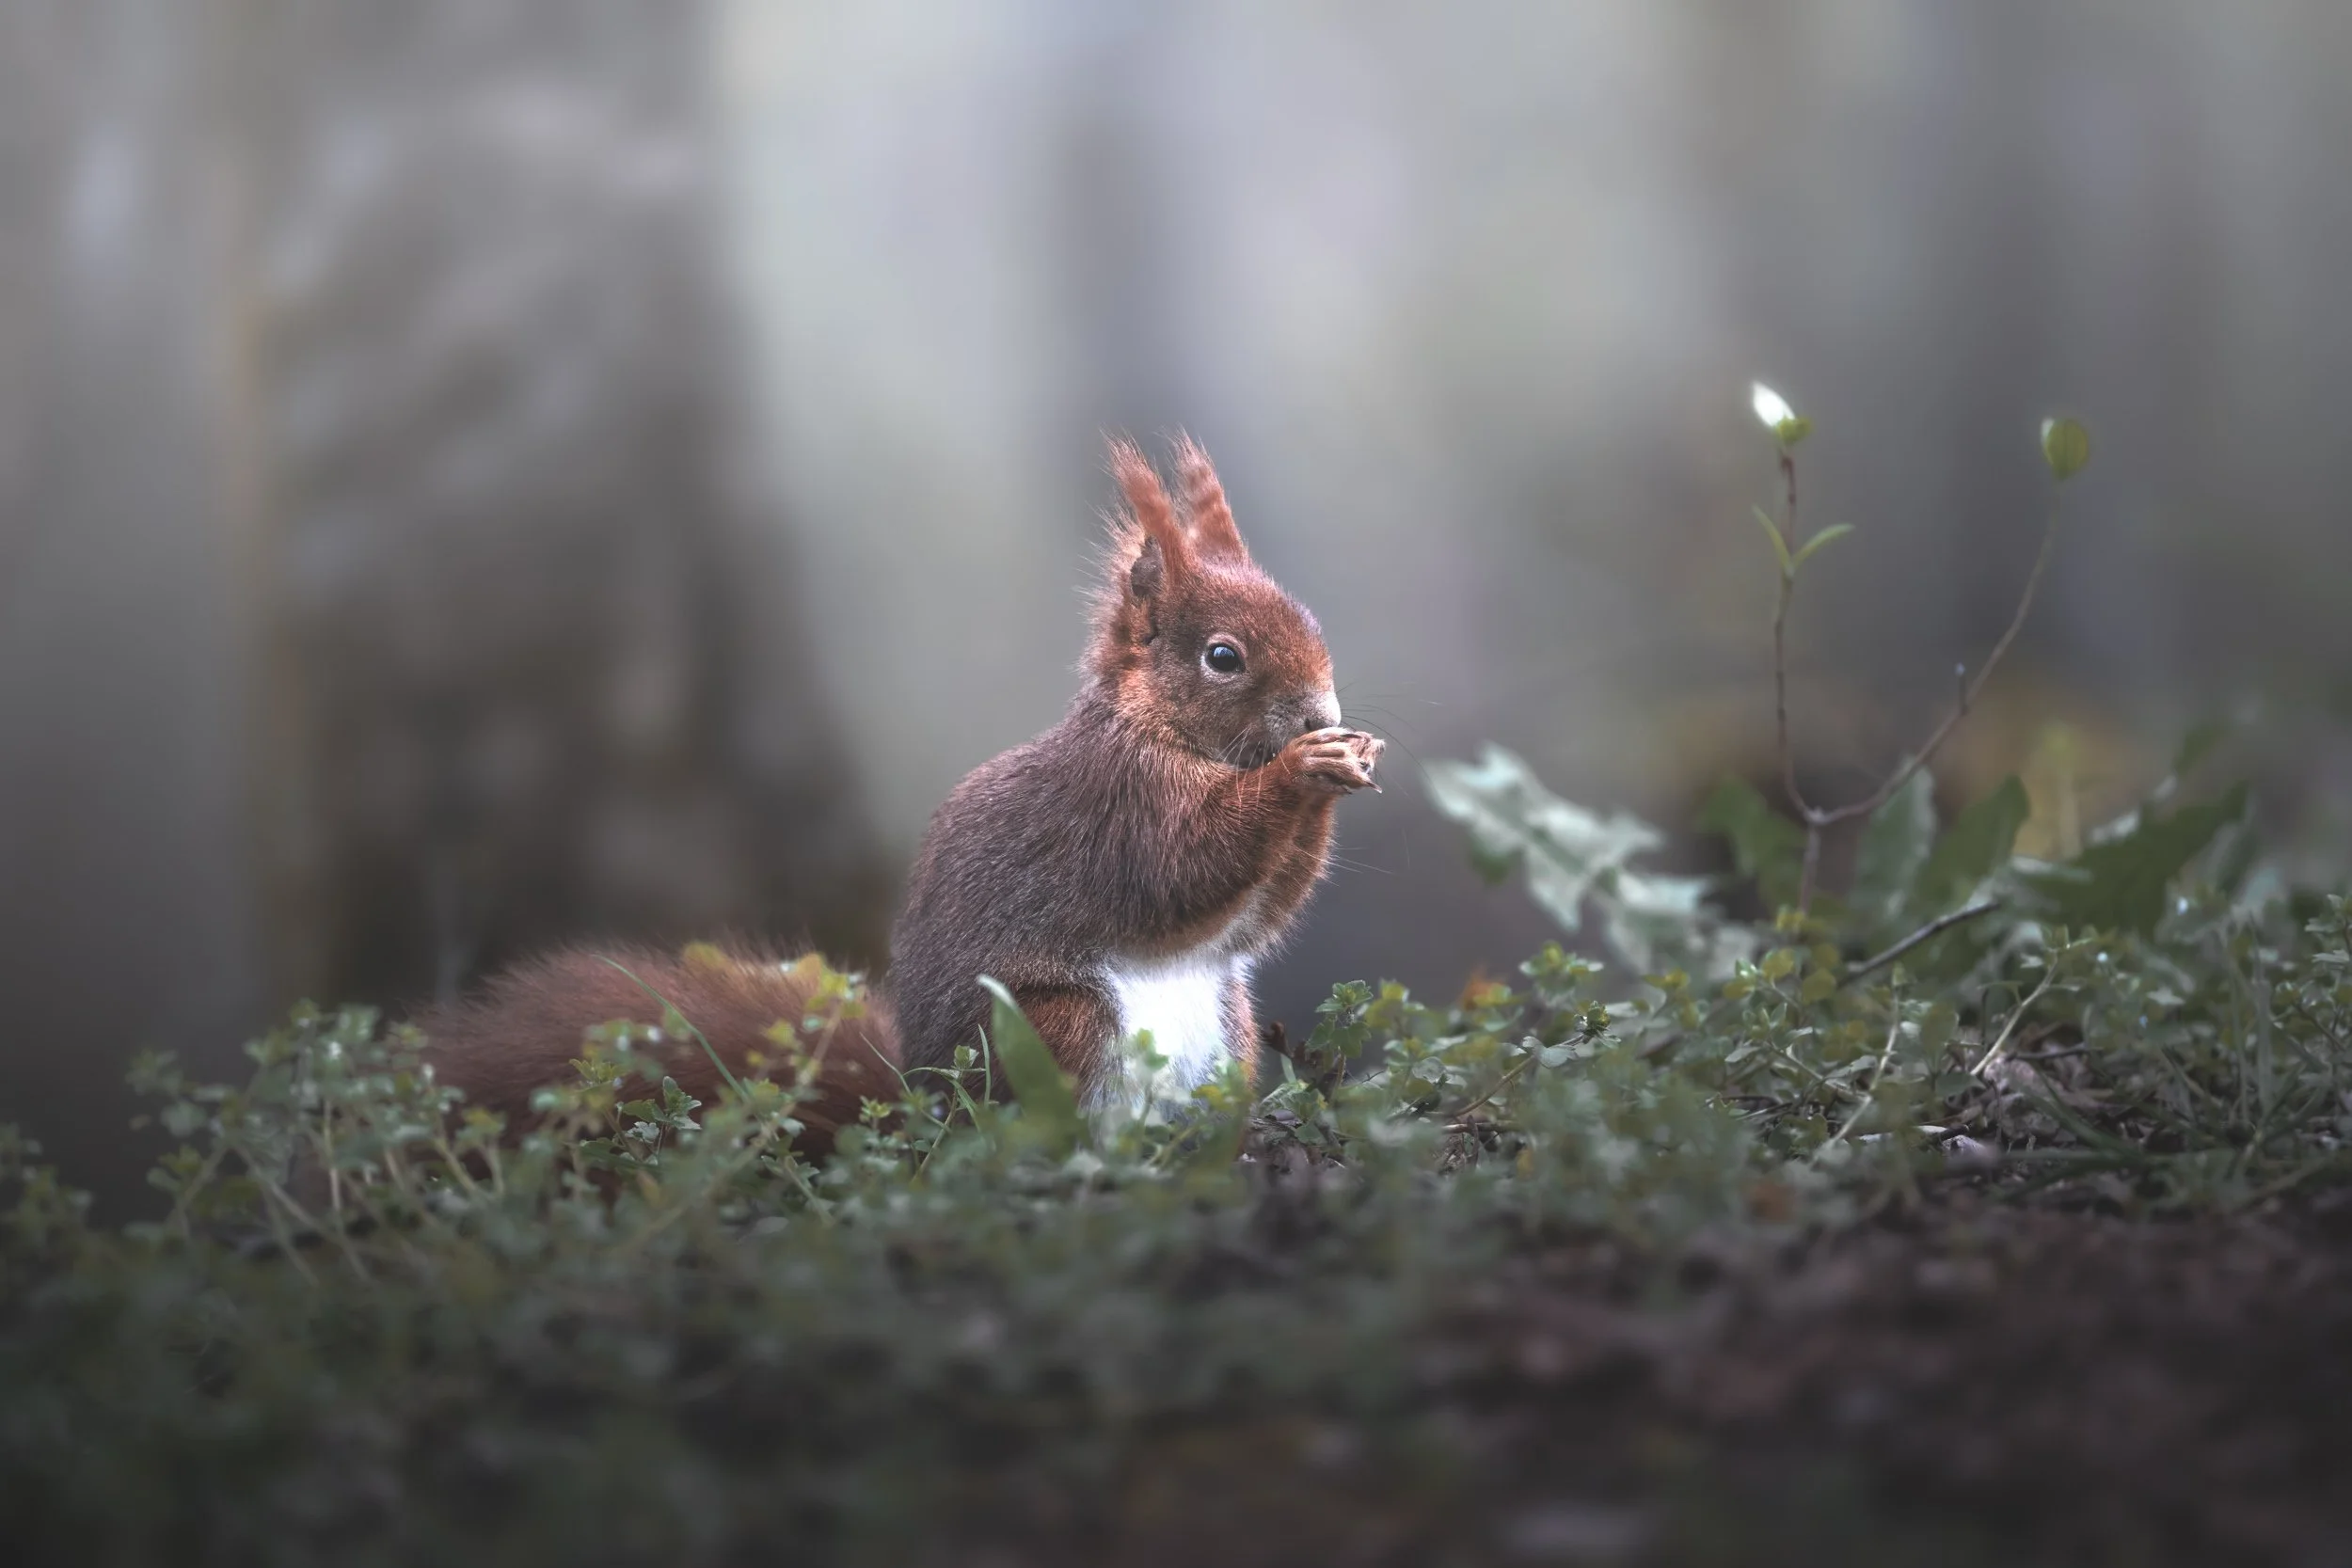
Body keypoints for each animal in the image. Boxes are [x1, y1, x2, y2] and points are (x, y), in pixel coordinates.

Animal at [419, 437, 1383, 1146]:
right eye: (1223, 657)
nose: (1322, 712)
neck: (1160, 730)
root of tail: (922, 1110)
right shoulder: (1118, 804)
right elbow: (1187, 864)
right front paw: (1301, 769)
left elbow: (1256, 917)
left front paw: (1348, 758)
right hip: (1055, 1026)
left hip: (1231, 1025)